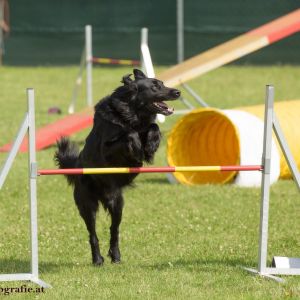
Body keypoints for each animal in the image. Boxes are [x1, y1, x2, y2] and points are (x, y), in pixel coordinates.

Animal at [54, 69, 179, 264]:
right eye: (154, 87)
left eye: (162, 83)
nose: (177, 92)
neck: (130, 115)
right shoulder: (106, 149)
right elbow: (129, 134)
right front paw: (137, 151)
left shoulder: (145, 126)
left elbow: (153, 126)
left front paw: (150, 146)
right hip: (87, 205)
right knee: (93, 234)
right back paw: (97, 259)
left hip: (117, 205)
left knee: (114, 230)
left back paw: (116, 256)